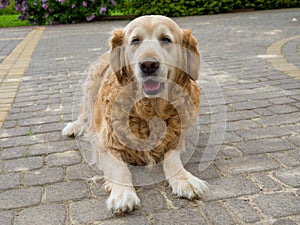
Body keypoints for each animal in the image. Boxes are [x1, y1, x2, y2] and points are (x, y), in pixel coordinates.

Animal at [62, 15, 207, 213]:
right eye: (135, 40)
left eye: (166, 39)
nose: (148, 65)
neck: (150, 109)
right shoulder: (106, 143)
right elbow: (120, 168)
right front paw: (123, 194)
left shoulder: (176, 140)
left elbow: (172, 161)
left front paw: (185, 180)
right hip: (91, 87)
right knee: (84, 114)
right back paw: (73, 127)